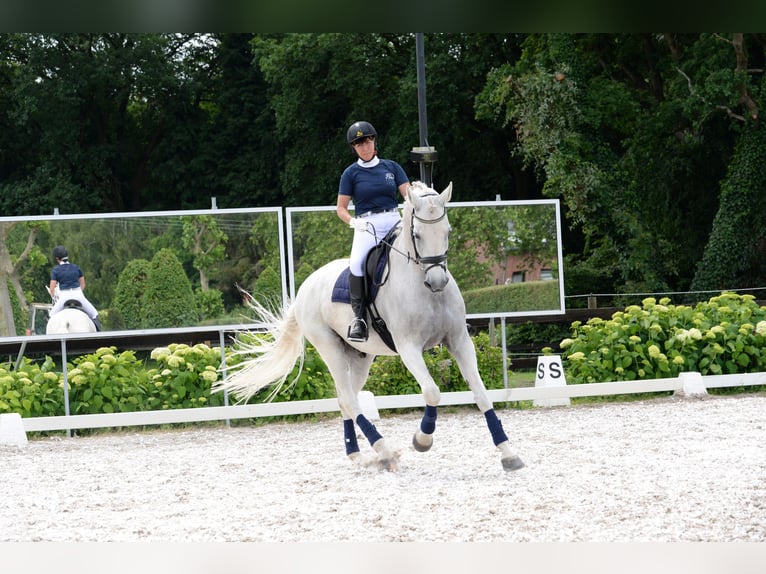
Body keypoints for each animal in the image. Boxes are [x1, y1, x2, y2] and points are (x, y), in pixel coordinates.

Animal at [219, 183, 524, 472]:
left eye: (447, 231)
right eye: (417, 235)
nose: (437, 281)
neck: (425, 289)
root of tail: (306, 286)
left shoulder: (459, 341)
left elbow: (481, 394)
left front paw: (509, 454)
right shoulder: (408, 347)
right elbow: (432, 392)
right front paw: (422, 440)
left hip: (360, 356)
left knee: (346, 399)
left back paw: (358, 455)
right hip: (330, 348)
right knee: (350, 400)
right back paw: (385, 452)